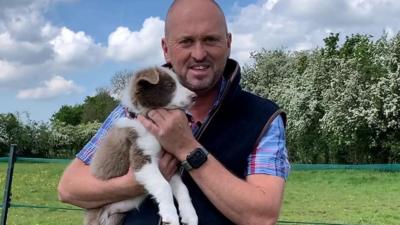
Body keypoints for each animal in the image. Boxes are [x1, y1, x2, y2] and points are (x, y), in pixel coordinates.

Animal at [86, 67, 199, 225]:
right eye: (170, 85)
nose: (195, 96)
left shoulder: (170, 165)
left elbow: (183, 189)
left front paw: (189, 215)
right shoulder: (142, 157)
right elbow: (163, 185)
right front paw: (170, 216)